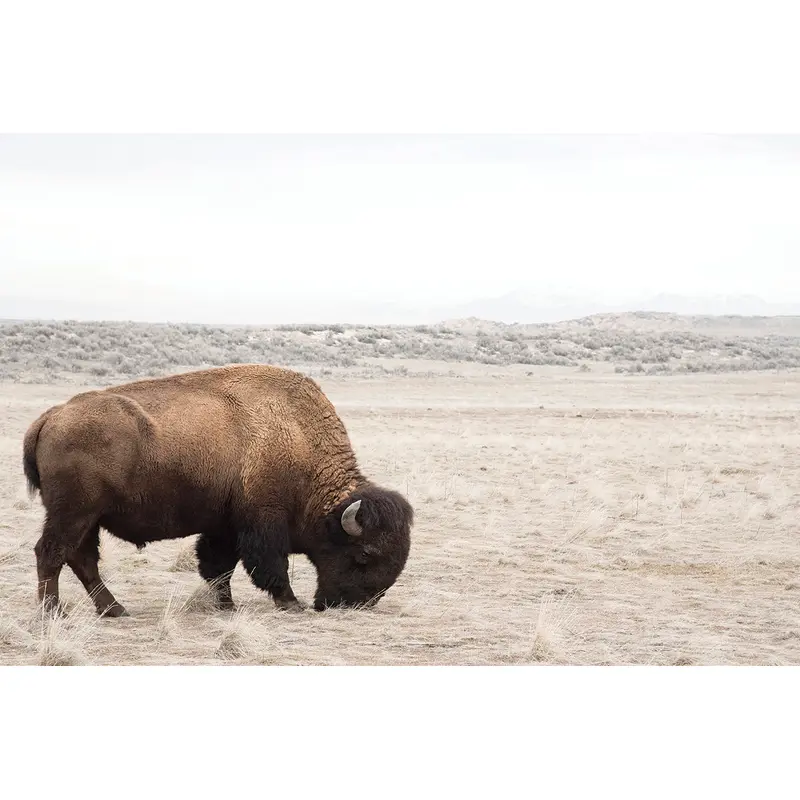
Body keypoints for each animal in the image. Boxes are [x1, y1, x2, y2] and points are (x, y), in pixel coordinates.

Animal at [22, 364, 413, 616]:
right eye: (364, 555)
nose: (355, 605)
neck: (298, 439)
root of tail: (50, 417)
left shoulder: (223, 526)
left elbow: (218, 566)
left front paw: (226, 605)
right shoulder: (263, 524)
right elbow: (270, 566)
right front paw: (291, 603)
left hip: (87, 518)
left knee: (81, 559)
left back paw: (114, 609)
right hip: (74, 513)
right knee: (51, 553)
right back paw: (54, 613)